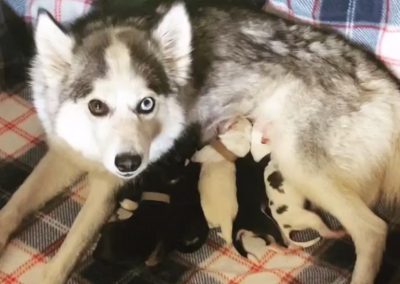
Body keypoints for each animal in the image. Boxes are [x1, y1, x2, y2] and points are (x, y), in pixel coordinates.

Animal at [0, 0, 400, 284]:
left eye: (147, 104)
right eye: (96, 106)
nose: (129, 164)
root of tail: (385, 84)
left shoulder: (105, 187)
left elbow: (68, 249)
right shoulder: (64, 155)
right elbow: (15, 205)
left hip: (301, 163)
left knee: (373, 231)